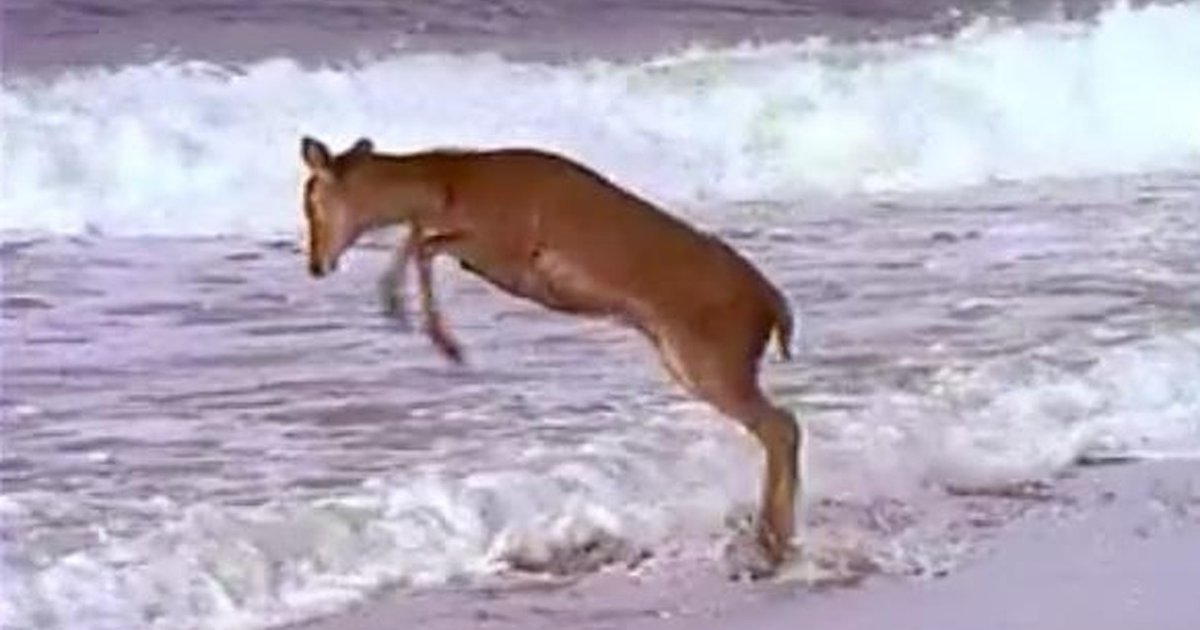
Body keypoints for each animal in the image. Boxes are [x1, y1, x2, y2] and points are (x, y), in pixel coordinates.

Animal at [299, 135, 802, 575]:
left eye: (312, 199)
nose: (315, 264)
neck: (453, 184)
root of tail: (776, 308)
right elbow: (420, 238)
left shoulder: (503, 248)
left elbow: (422, 243)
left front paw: (437, 338)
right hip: (690, 360)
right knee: (780, 427)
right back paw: (770, 543)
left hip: (710, 361)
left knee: (782, 426)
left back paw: (769, 546)